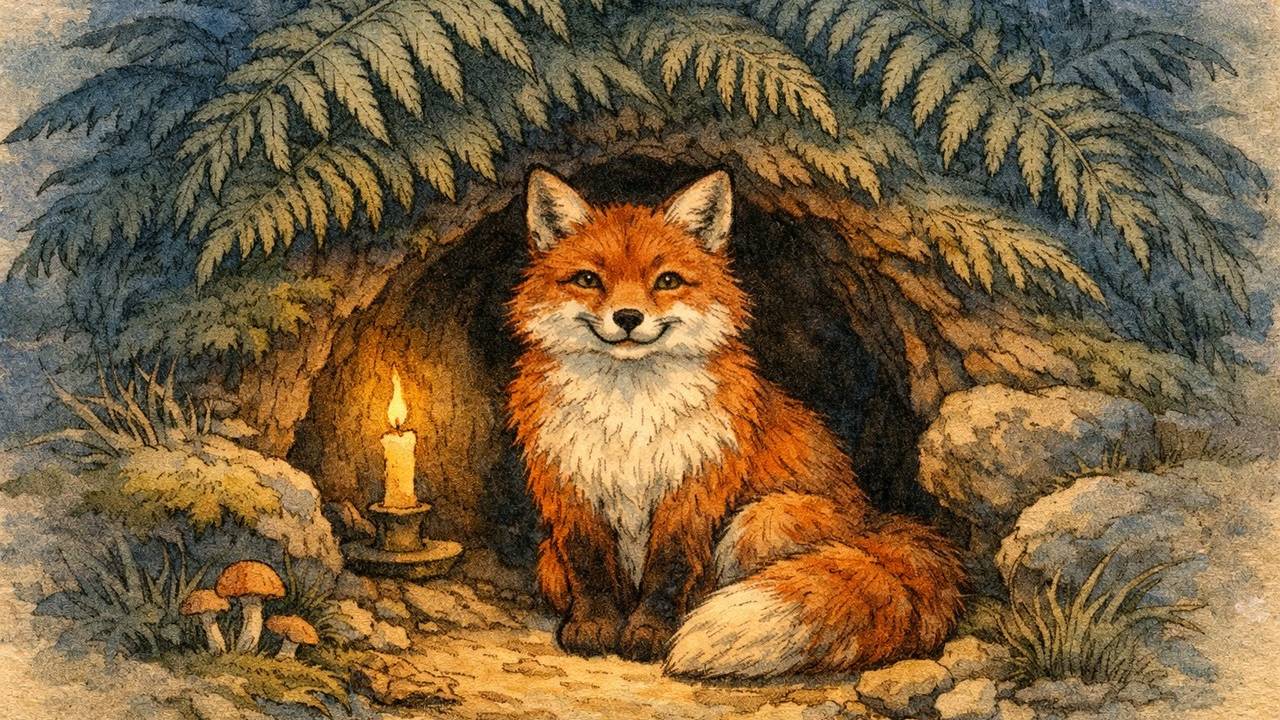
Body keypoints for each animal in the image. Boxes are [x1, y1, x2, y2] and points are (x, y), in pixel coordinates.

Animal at [507, 167, 965, 678]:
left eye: (667, 281)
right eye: (588, 279)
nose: (628, 317)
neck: (630, 415)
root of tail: (870, 521)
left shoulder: (692, 489)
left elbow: (668, 574)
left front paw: (650, 635)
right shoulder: (571, 488)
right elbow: (590, 570)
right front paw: (594, 627)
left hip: (765, 519)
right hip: (549, 561)